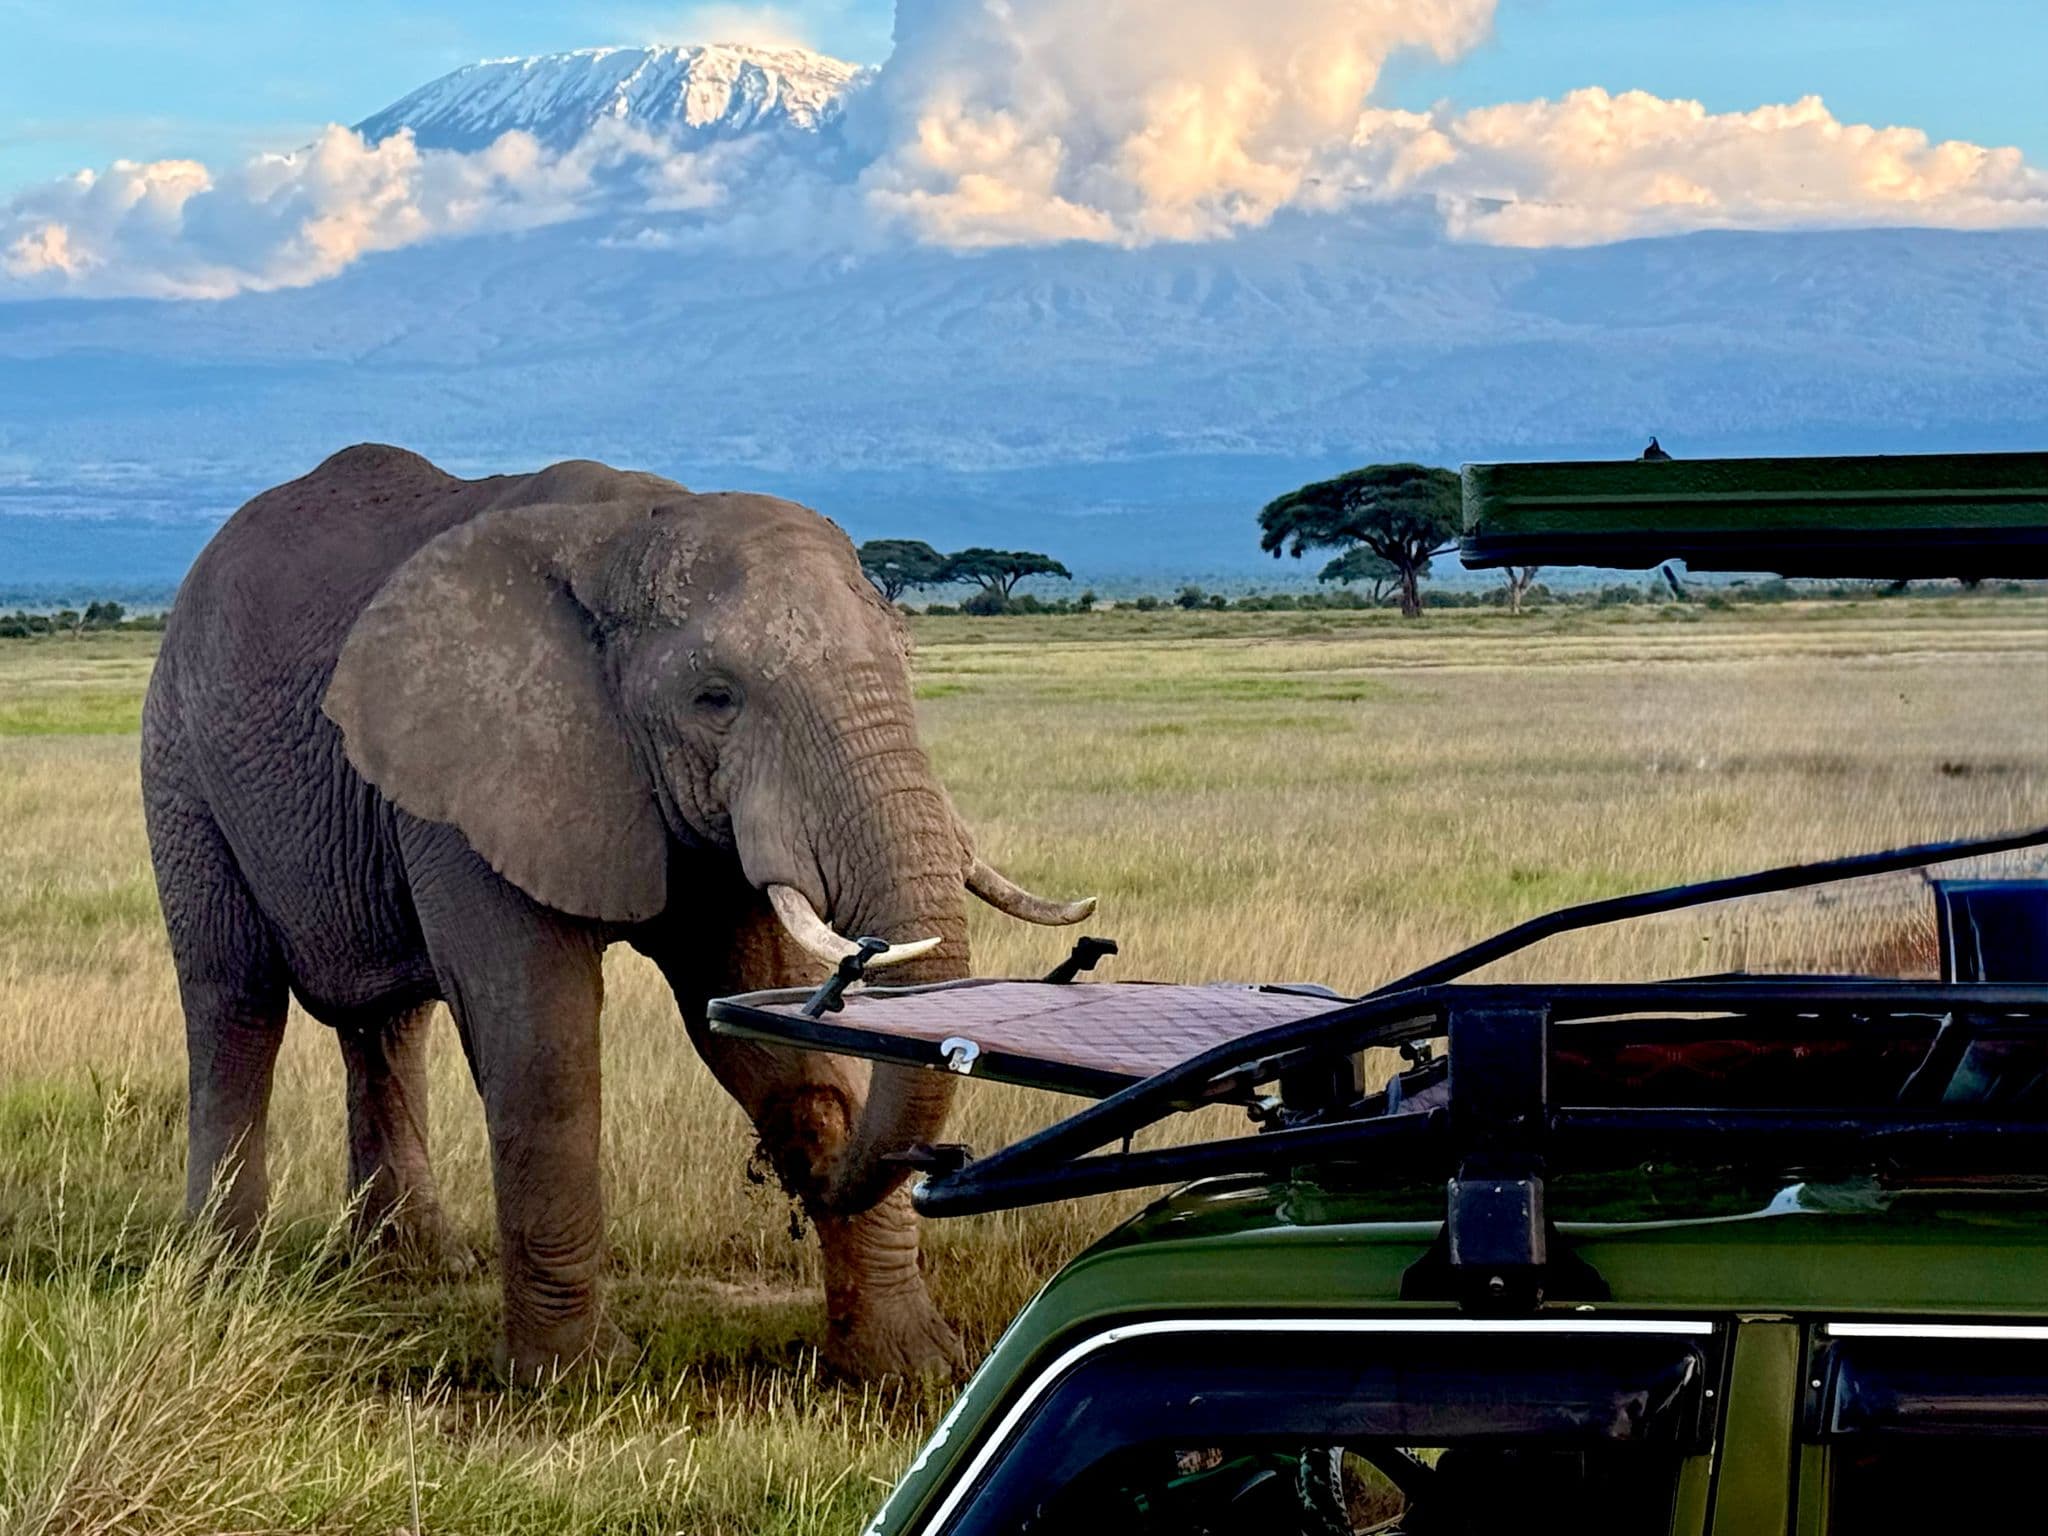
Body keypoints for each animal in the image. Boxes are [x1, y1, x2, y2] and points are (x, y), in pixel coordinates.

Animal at [139, 444, 1092, 1380]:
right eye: (715, 698)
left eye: (904, 658)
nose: (801, 1175)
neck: (628, 530)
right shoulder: (479, 780)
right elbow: (543, 1046)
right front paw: (571, 1381)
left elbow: (750, 1012)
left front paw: (914, 1367)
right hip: (179, 764)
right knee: (235, 1004)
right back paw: (223, 1270)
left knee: (386, 1026)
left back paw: (411, 1269)